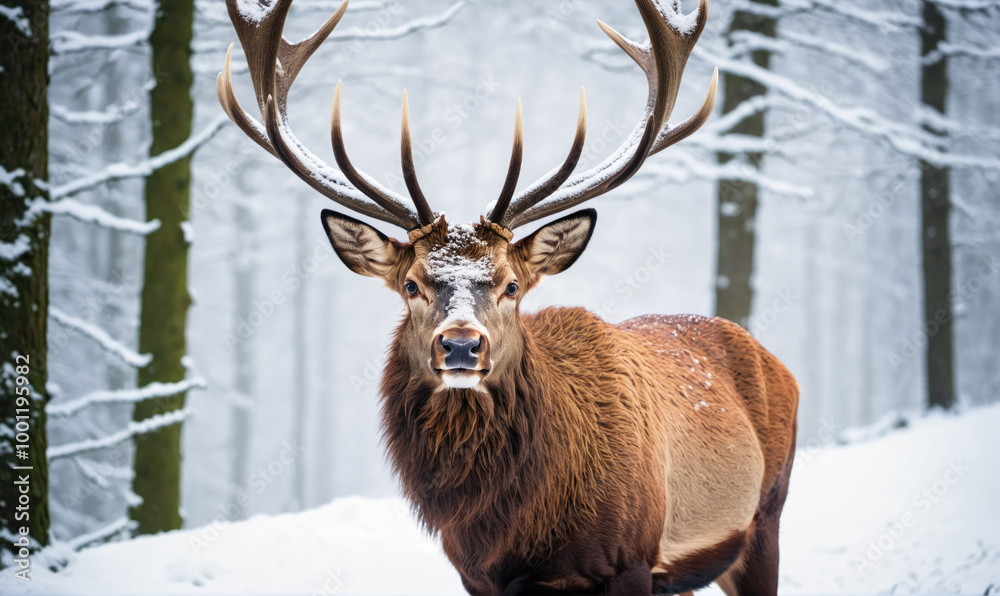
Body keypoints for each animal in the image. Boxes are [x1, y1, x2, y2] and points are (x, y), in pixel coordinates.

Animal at [217, 0, 798, 594]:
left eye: (511, 285)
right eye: (411, 285)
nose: (461, 346)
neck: (516, 529)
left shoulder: (632, 557)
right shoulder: (476, 576)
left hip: (765, 516)